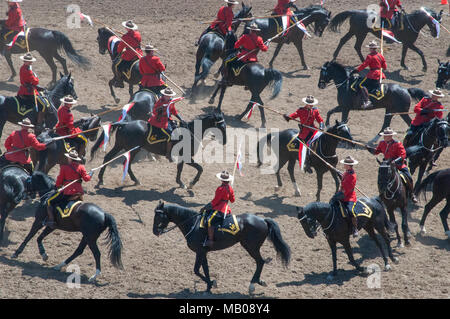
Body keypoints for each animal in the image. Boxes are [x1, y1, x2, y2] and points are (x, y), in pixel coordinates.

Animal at [91, 111, 227, 189]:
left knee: (110, 158)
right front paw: (191, 183)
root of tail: (124, 124)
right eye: (222, 126)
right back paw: (133, 180)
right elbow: (199, 168)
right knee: (125, 163)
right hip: (132, 149)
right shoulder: (187, 157)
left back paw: (102, 179)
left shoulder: (182, 157)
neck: (191, 132)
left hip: (120, 146)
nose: (225, 141)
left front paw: (180, 182)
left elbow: (181, 168)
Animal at [153, 202, 290, 296]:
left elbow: (196, 270)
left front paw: (211, 284)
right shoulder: (203, 252)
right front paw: (209, 286)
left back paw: (253, 284)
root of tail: (263, 220)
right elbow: (205, 269)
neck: (193, 224)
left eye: (158, 216)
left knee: (260, 262)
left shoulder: (199, 252)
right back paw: (257, 282)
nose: (154, 231)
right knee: (260, 262)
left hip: (251, 247)